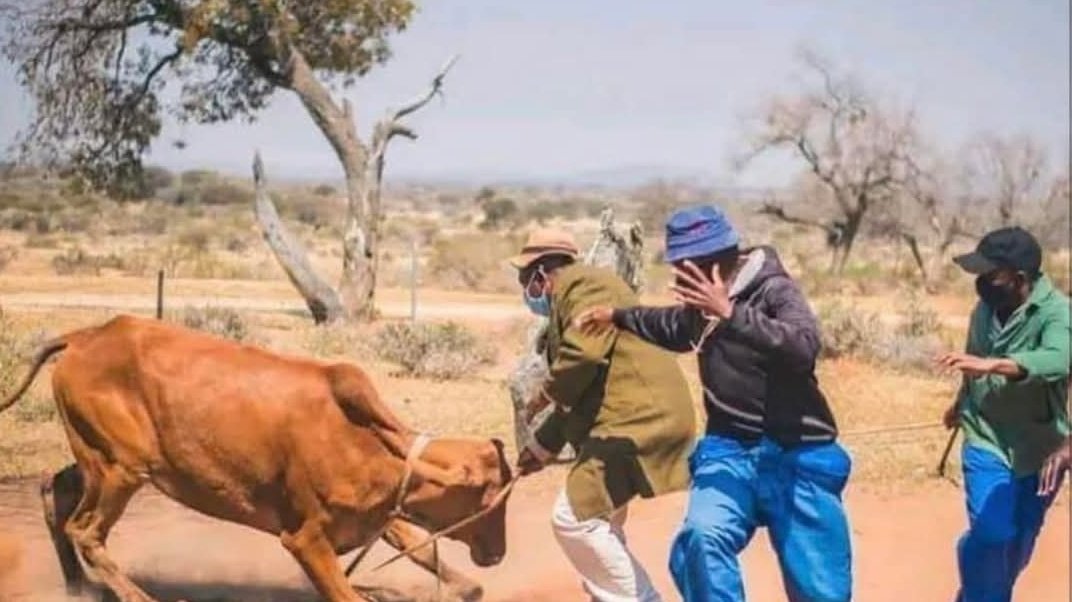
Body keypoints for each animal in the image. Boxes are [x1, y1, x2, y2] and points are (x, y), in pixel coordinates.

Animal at [0, 315, 513, 602]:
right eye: (492, 500)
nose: (498, 553)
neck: (364, 439)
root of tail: (83, 337)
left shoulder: (381, 517)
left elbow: (428, 556)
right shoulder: (304, 540)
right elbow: (348, 593)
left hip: (97, 460)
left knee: (55, 493)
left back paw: (78, 587)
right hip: (122, 469)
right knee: (84, 531)